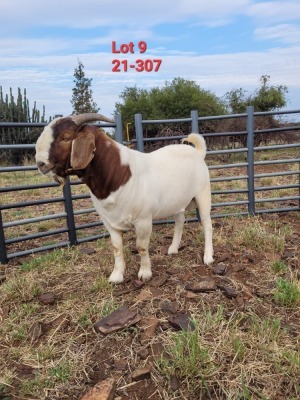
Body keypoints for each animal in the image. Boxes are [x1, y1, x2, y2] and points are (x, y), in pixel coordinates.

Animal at [35, 114, 213, 282]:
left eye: (65, 137)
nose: (40, 164)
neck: (118, 173)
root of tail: (198, 152)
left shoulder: (143, 220)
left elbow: (141, 247)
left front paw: (145, 273)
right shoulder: (109, 222)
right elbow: (117, 248)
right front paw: (116, 276)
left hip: (203, 194)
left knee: (207, 224)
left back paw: (208, 257)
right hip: (177, 201)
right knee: (180, 220)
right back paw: (173, 249)